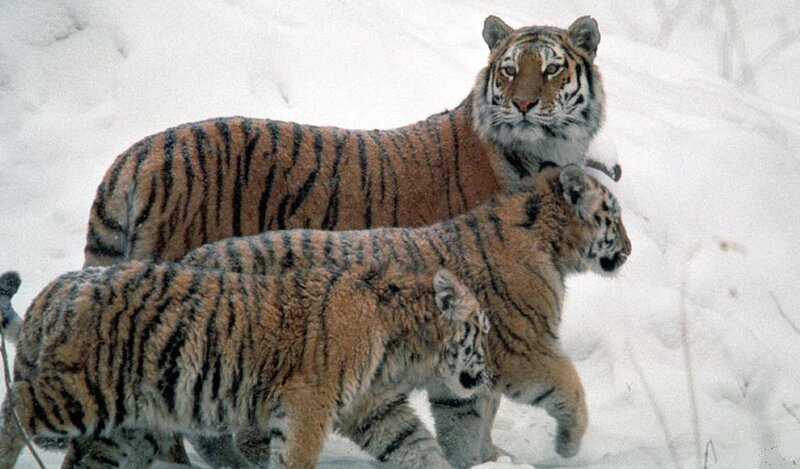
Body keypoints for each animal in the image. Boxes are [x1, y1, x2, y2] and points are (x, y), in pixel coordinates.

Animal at [0, 261, 489, 469]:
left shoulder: (374, 408)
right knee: (16, 404)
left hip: (124, 425)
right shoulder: (309, 405)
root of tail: (57, 288)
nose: (486, 374)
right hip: (85, 392)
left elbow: (417, 446)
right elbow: (294, 458)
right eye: (481, 330)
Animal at [181, 164, 632, 467]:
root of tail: (193, 256)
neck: (550, 246)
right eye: (613, 215)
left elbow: (469, 420)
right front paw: (567, 445)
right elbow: (569, 385)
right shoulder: (522, 349)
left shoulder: (469, 371)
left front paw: (485, 458)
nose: (628, 250)